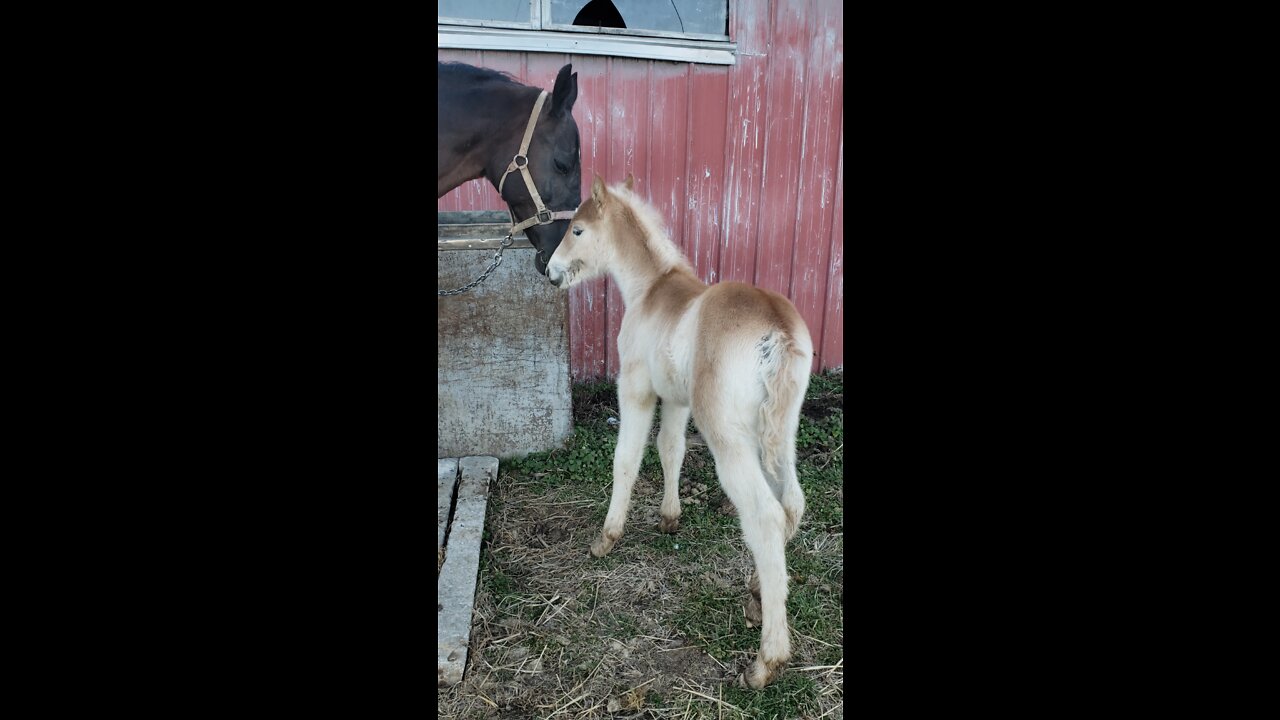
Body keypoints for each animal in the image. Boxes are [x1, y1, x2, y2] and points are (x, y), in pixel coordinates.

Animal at [547, 175, 808, 691]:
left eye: (578, 230)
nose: (550, 272)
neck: (651, 289)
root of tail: (779, 332)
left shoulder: (636, 388)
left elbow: (626, 459)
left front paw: (607, 537)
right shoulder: (677, 399)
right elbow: (671, 449)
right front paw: (670, 518)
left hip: (730, 438)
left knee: (766, 517)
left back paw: (766, 662)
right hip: (781, 431)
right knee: (791, 503)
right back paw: (759, 593)